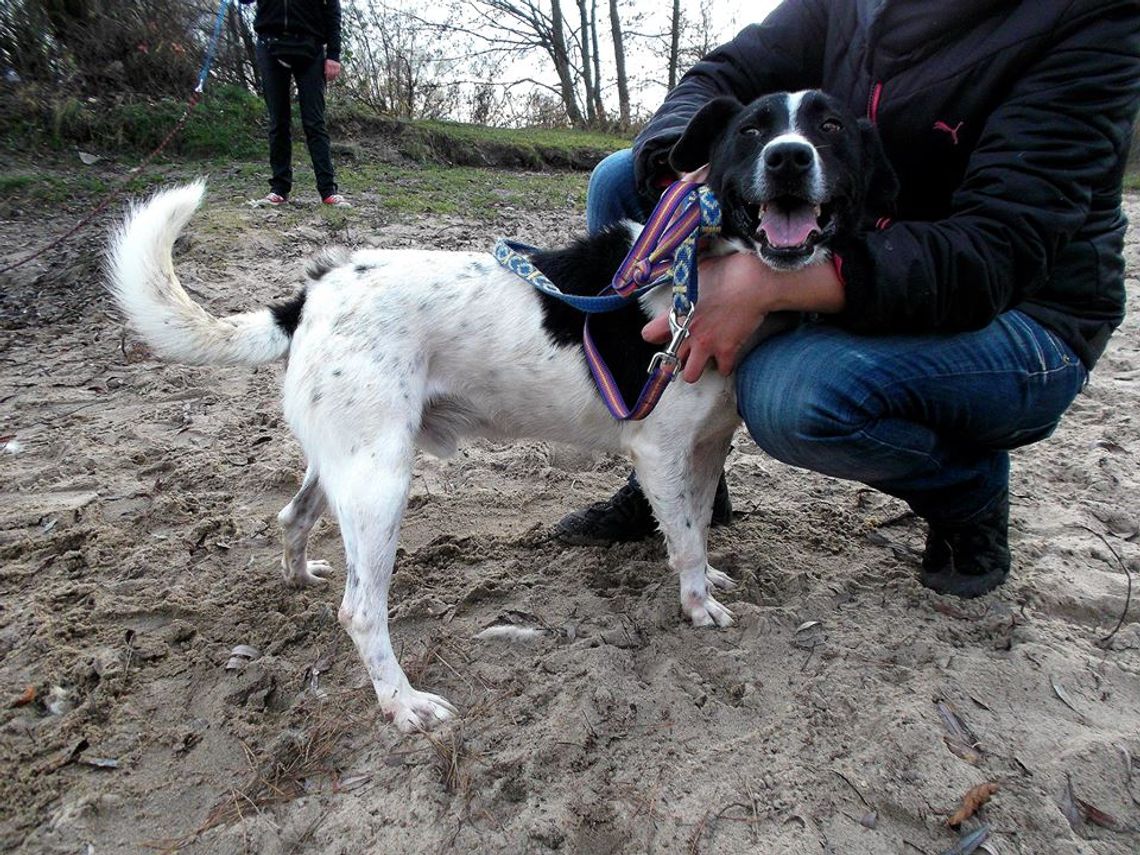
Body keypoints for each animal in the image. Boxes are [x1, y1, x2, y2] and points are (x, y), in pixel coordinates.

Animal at [107, 90, 893, 734]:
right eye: (752, 129)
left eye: (828, 128)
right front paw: (698, 607)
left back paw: (300, 578)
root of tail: (310, 292)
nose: (789, 158)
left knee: (293, 517)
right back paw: (403, 704)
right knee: (361, 610)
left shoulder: (705, 450)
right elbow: (688, 545)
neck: (704, 267)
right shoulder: (661, 453)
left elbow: (697, 528)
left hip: (344, 462)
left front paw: (705, 580)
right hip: (380, 481)